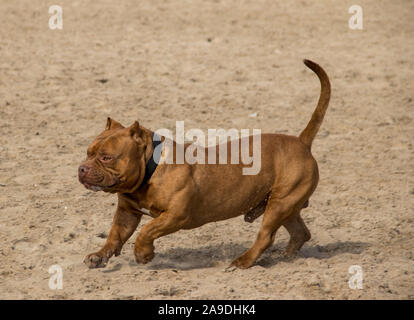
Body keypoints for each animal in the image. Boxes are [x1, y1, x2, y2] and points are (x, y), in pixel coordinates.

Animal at [77, 59, 330, 268]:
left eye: (106, 157)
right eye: (88, 153)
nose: (82, 168)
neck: (151, 169)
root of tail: (301, 142)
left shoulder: (175, 216)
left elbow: (147, 230)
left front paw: (143, 254)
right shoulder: (127, 212)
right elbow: (115, 235)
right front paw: (99, 255)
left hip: (280, 205)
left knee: (266, 235)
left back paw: (243, 262)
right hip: (284, 205)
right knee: (300, 233)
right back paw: (287, 257)